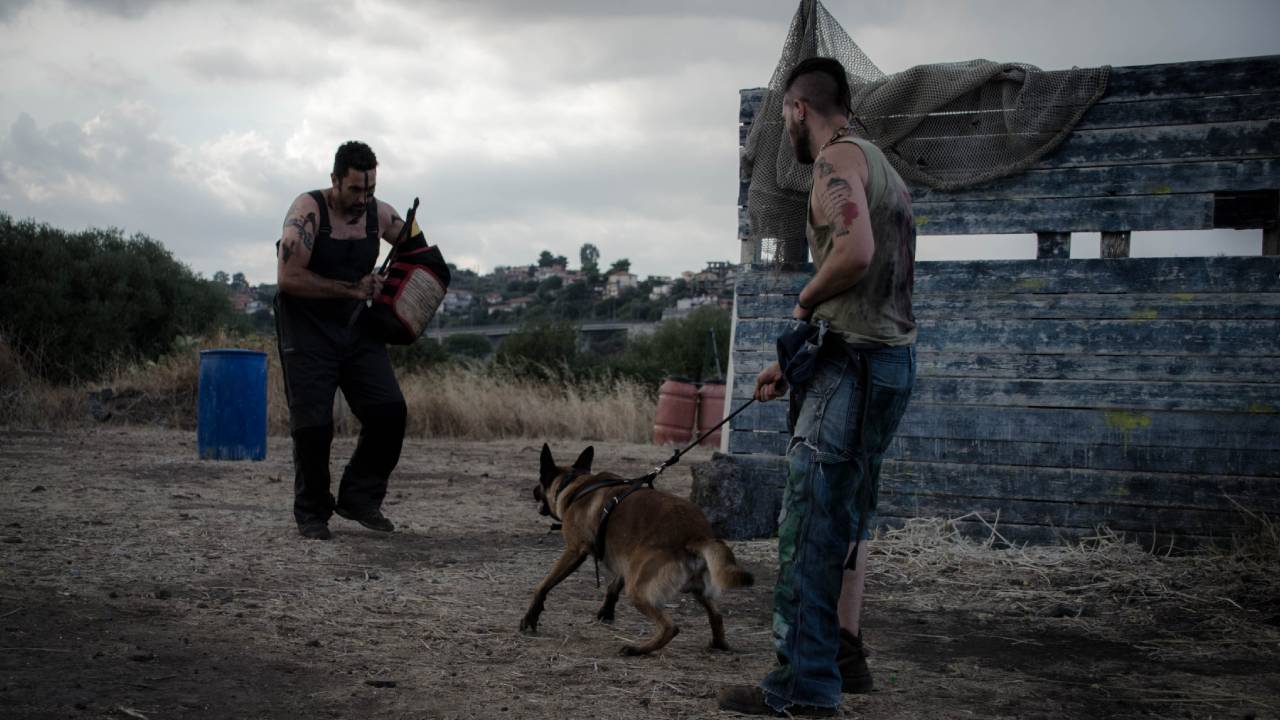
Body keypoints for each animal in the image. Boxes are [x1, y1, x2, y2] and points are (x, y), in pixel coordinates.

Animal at [517, 440, 747, 653]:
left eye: (539, 482)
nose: (533, 491)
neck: (577, 485)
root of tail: (696, 535)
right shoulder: (625, 560)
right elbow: (613, 586)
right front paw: (607, 612)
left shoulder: (574, 551)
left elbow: (544, 585)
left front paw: (530, 616)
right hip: (698, 589)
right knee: (717, 615)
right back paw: (719, 644)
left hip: (638, 590)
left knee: (670, 627)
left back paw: (637, 649)